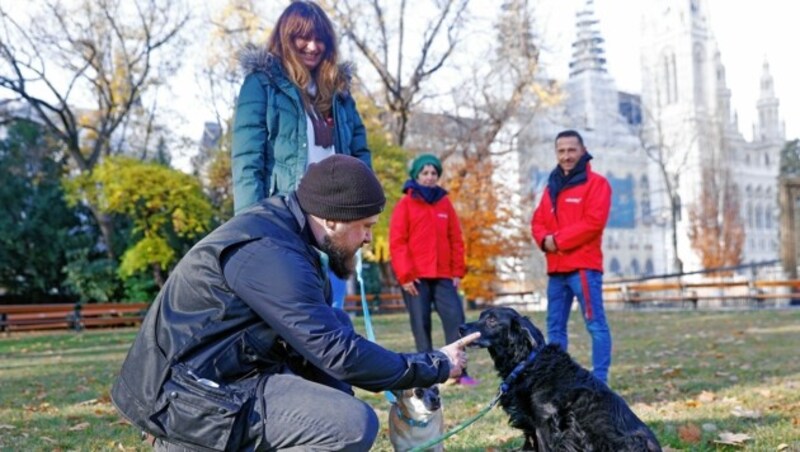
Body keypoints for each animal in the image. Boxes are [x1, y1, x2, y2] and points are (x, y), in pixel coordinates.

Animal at [460, 308, 660, 452]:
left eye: (492, 320)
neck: (527, 364)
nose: (461, 328)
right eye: (481, 316)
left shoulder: (545, 424)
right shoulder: (531, 428)